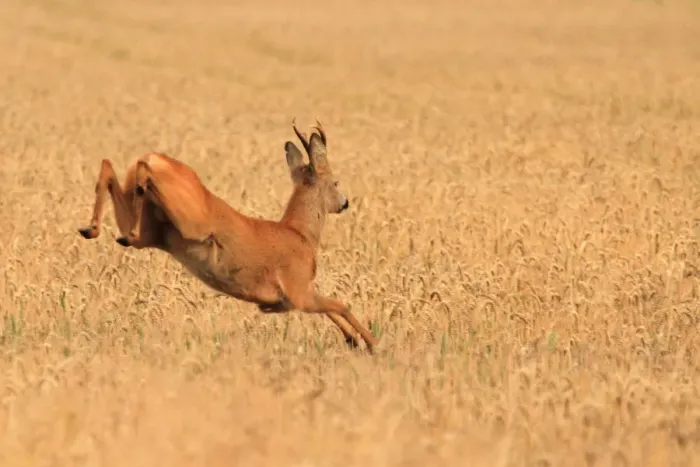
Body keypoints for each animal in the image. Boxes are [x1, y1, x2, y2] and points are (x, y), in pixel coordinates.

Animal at [77, 119, 378, 353]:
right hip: (191, 220)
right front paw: (372, 343)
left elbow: (332, 308)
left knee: (111, 175)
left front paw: (353, 341)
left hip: (151, 231)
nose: (345, 202)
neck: (300, 233)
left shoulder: (294, 297)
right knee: (135, 171)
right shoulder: (297, 289)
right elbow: (341, 305)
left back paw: (92, 228)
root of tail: (155, 159)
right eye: (335, 181)